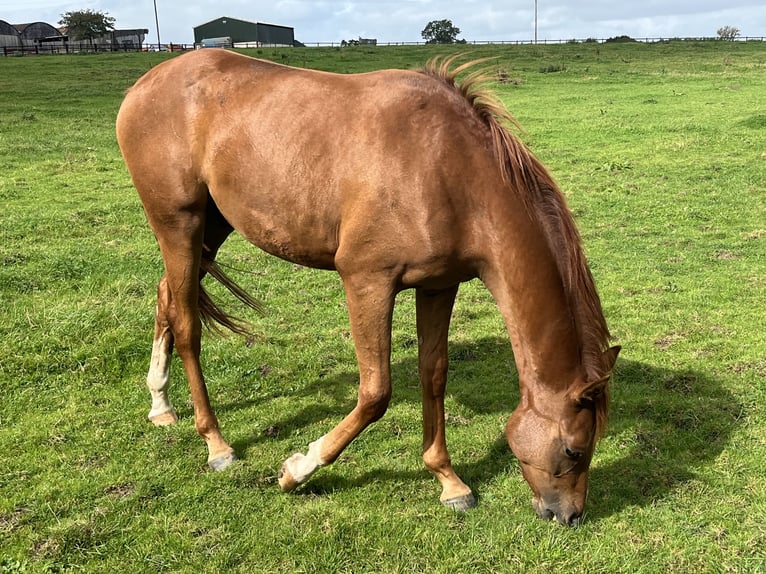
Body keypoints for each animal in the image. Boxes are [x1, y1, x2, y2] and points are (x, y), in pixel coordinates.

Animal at [115, 49, 616, 528]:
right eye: (574, 450)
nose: (569, 516)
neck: (448, 169)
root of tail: (142, 86)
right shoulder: (367, 281)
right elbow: (376, 393)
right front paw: (297, 470)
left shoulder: (439, 286)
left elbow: (434, 374)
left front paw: (449, 481)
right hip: (179, 223)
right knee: (187, 325)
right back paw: (216, 444)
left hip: (211, 227)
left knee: (166, 297)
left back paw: (160, 405)